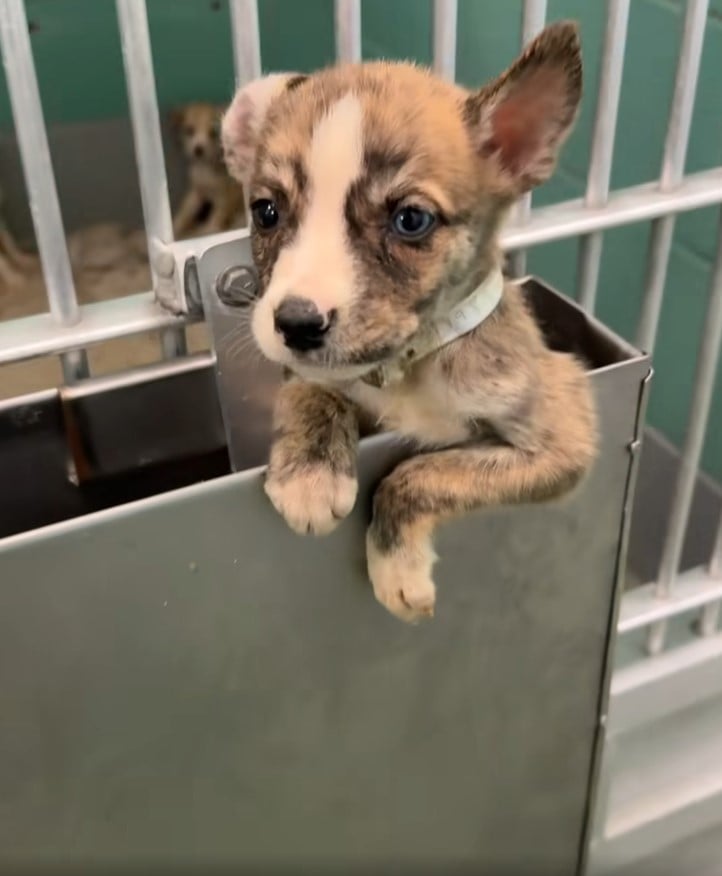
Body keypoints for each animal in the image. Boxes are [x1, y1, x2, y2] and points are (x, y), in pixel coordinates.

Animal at [171, 103, 245, 240]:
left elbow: (214, 220)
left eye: (213, 133)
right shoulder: (196, 194)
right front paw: (174, 230)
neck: (205, 167)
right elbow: (183, 214)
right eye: (189, 130)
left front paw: (207, 231)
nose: (198, 150)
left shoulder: (224, 199)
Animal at [219, 22, 596, 624]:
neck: (408, 367)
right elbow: (310, 387)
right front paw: (310, 474)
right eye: (266, 212)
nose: (296, 324)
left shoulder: (562, 439)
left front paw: (396, 570)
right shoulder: (318, 375)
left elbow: (422, 474)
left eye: (411, 219)